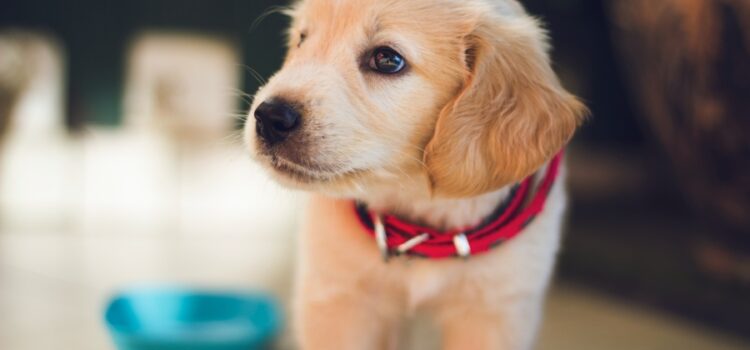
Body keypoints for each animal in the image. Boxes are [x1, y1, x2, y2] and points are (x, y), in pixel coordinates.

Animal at [245, 0, 588, 350]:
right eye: (302, 39)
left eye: (387, 59)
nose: (269, 117)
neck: (419, 222)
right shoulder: (338, 297)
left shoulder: (495, 311)